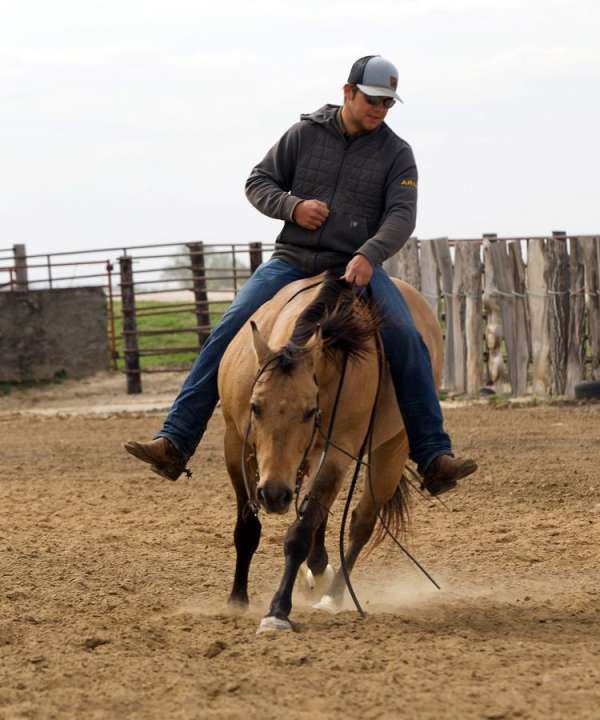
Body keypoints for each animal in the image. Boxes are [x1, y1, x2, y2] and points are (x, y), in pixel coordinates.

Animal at [217, 271, 443, 632]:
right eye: (255, 407)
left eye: (311, 411)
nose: (275, 495)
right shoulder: (236, 444)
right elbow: (248, 528)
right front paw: (237, 600)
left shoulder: (340, 452)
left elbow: (300, 533)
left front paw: (277, 610)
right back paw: (319, 571)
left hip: (391, 449)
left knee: (361, 522)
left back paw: (333, 595)